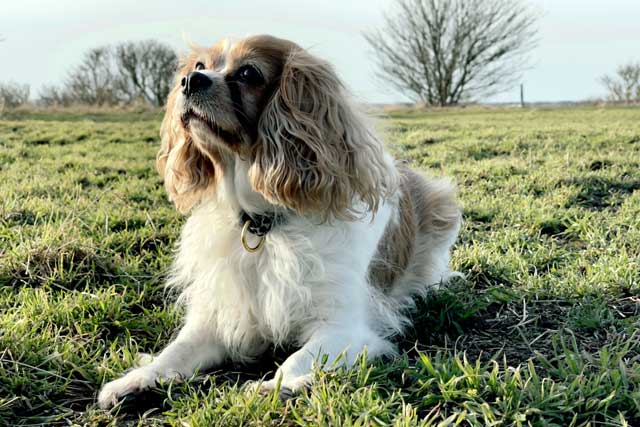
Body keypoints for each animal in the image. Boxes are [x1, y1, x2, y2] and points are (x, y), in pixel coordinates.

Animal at [96, 35, 460, 410]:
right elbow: (176, 350)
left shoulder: (343, 327)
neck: (262, 223)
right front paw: (138, 379)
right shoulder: (220, 316)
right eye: (199, 67)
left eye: (248, 73)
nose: (190, 81)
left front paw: (274, 386)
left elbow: (297, 358)